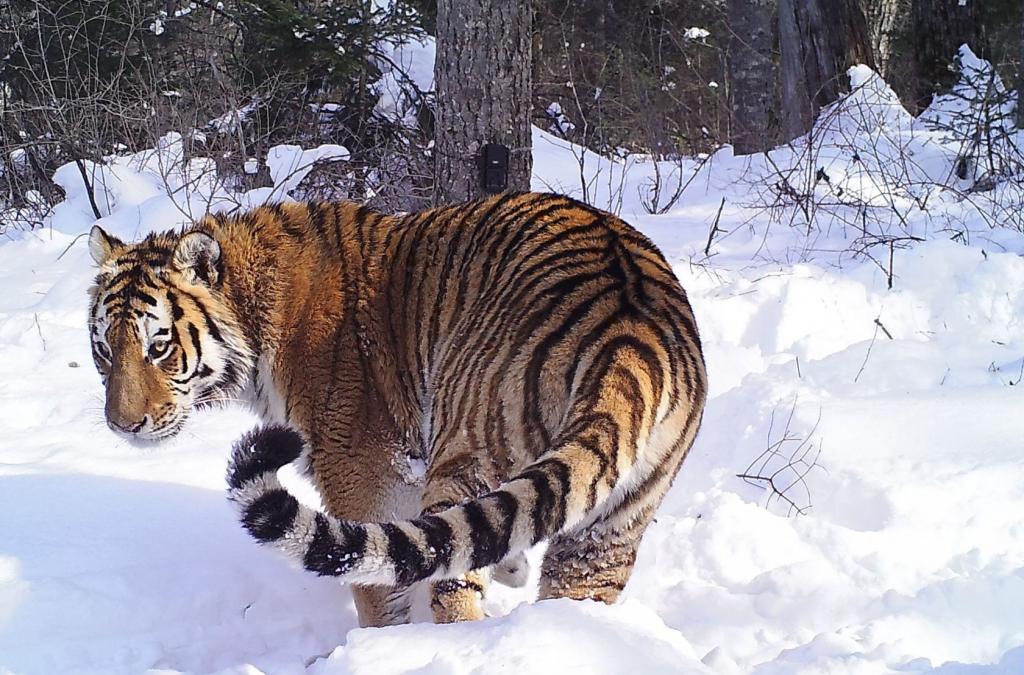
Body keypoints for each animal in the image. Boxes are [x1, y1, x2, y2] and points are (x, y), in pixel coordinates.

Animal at [88, 190, 708, 626]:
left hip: (469, 447)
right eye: (104, 350)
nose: (122, 426)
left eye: (159, 346)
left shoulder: (362, 475)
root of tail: (630, 328)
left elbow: (378, 582)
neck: (256, 316)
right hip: (612, 526)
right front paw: (512, 565)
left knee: (454, 594)